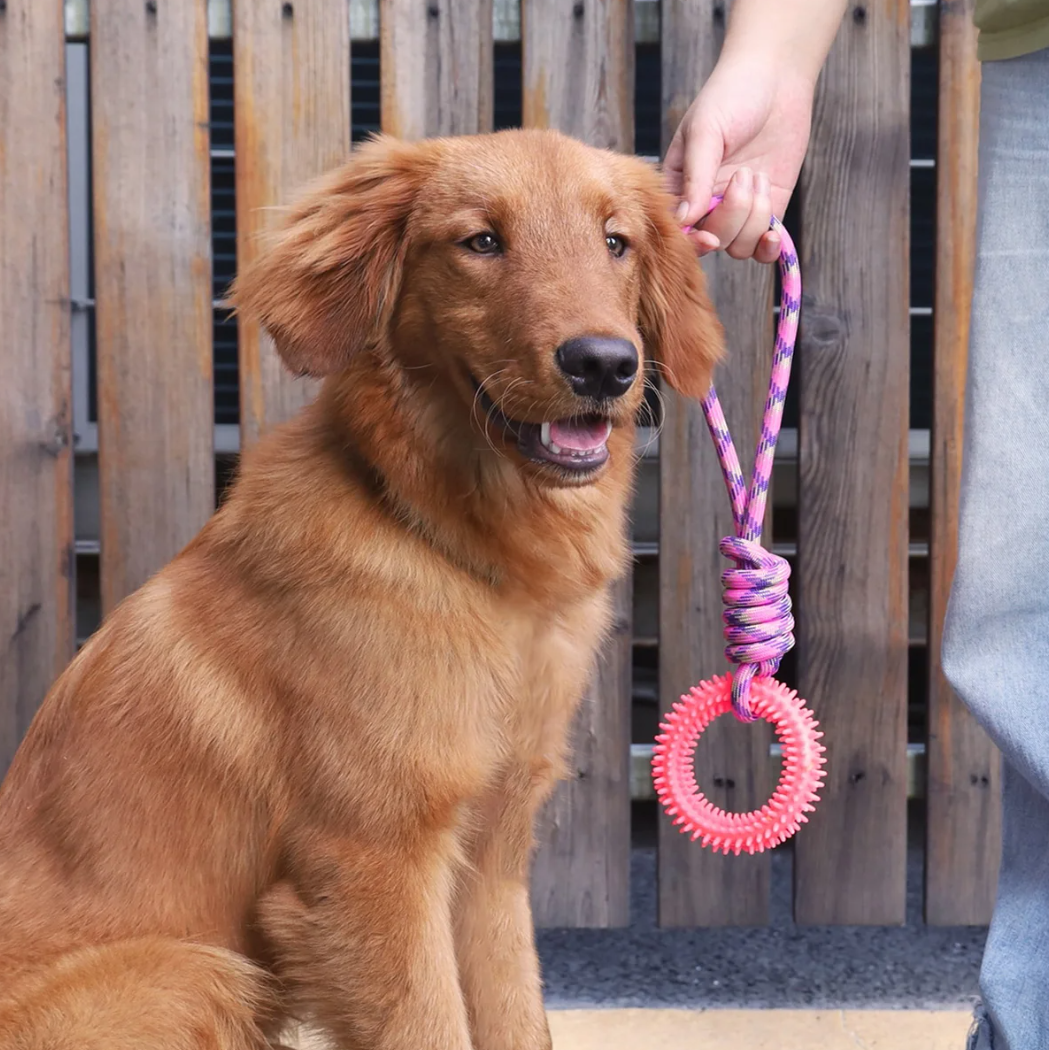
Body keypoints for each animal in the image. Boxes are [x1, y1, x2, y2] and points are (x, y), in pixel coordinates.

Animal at [0, 131, 722, 1050]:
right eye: (481, 241)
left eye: (615, 242)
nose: (602, 364)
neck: (456, 547)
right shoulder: (372, 866)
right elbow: (430, 1028)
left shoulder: (489, 864)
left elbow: (516, 1017)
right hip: (193, 972)